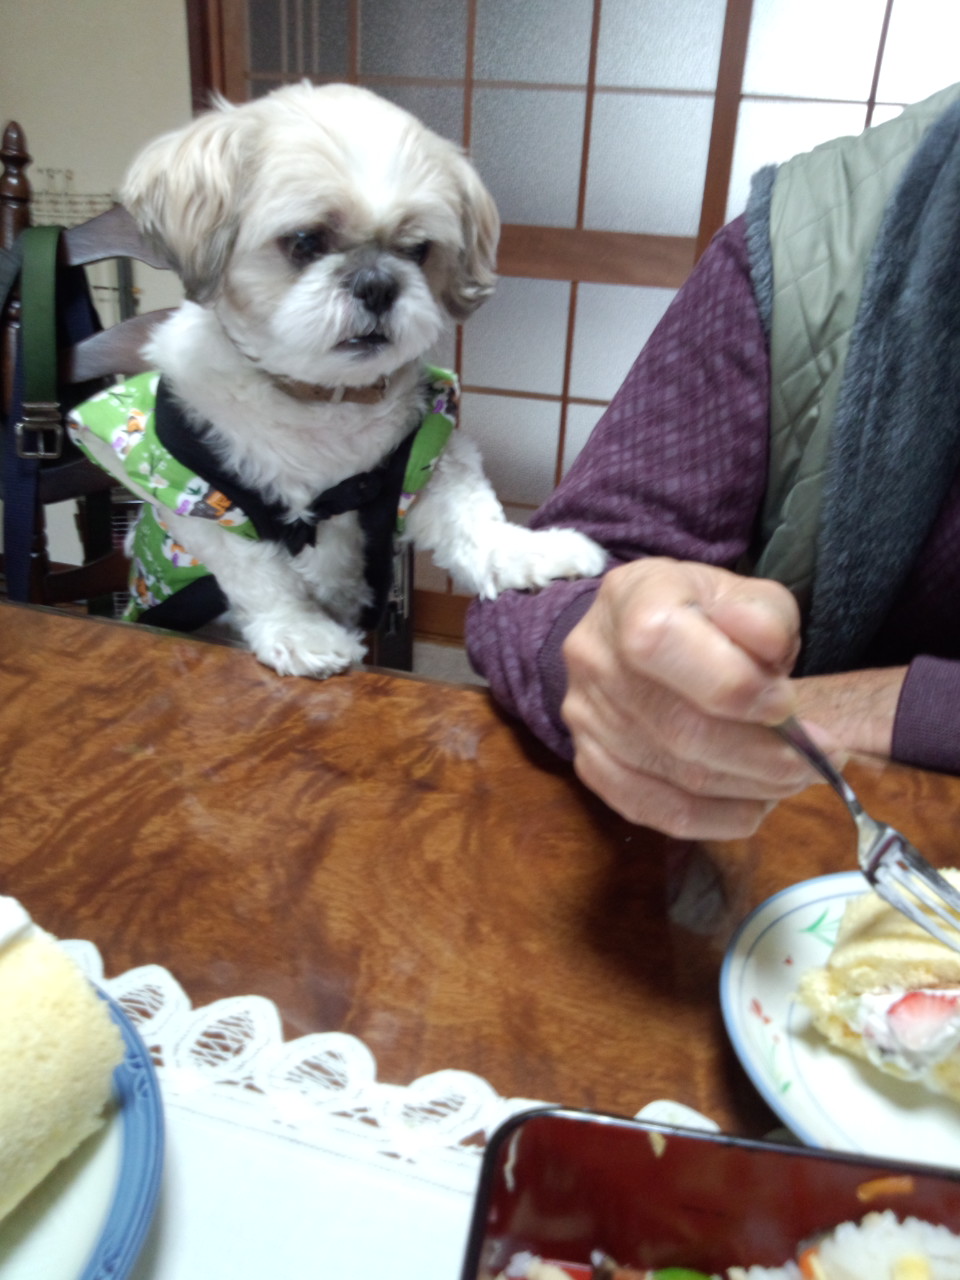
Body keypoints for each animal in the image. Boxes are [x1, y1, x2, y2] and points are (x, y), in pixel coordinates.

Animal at [68, 82, 606, 678]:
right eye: (305, 241)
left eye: (418, 250)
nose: (378, 283)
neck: (320, 399)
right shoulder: (196, 494)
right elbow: (261, 577)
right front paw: (300, 633)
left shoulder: (426, 463)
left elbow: (471, 517)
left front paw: (528, 553)